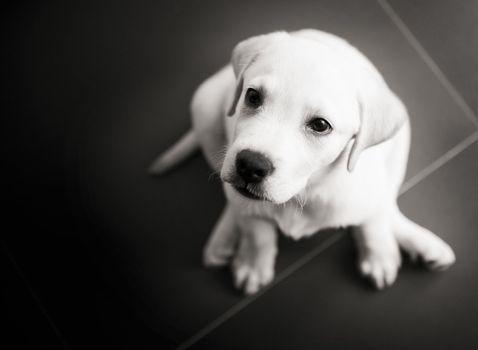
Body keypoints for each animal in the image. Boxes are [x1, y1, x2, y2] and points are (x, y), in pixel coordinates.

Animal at [150, 30, 456, 294]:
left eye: (320, 125)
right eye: (252, 96)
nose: (250, 165)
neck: (305, 189)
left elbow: (374, 217)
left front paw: (380, 254)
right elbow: (256, 229)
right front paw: (253, 263)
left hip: (401, 143)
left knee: (387, 200)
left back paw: (420, 243)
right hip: (204, 105)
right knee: (235, 201)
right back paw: (223, 236)